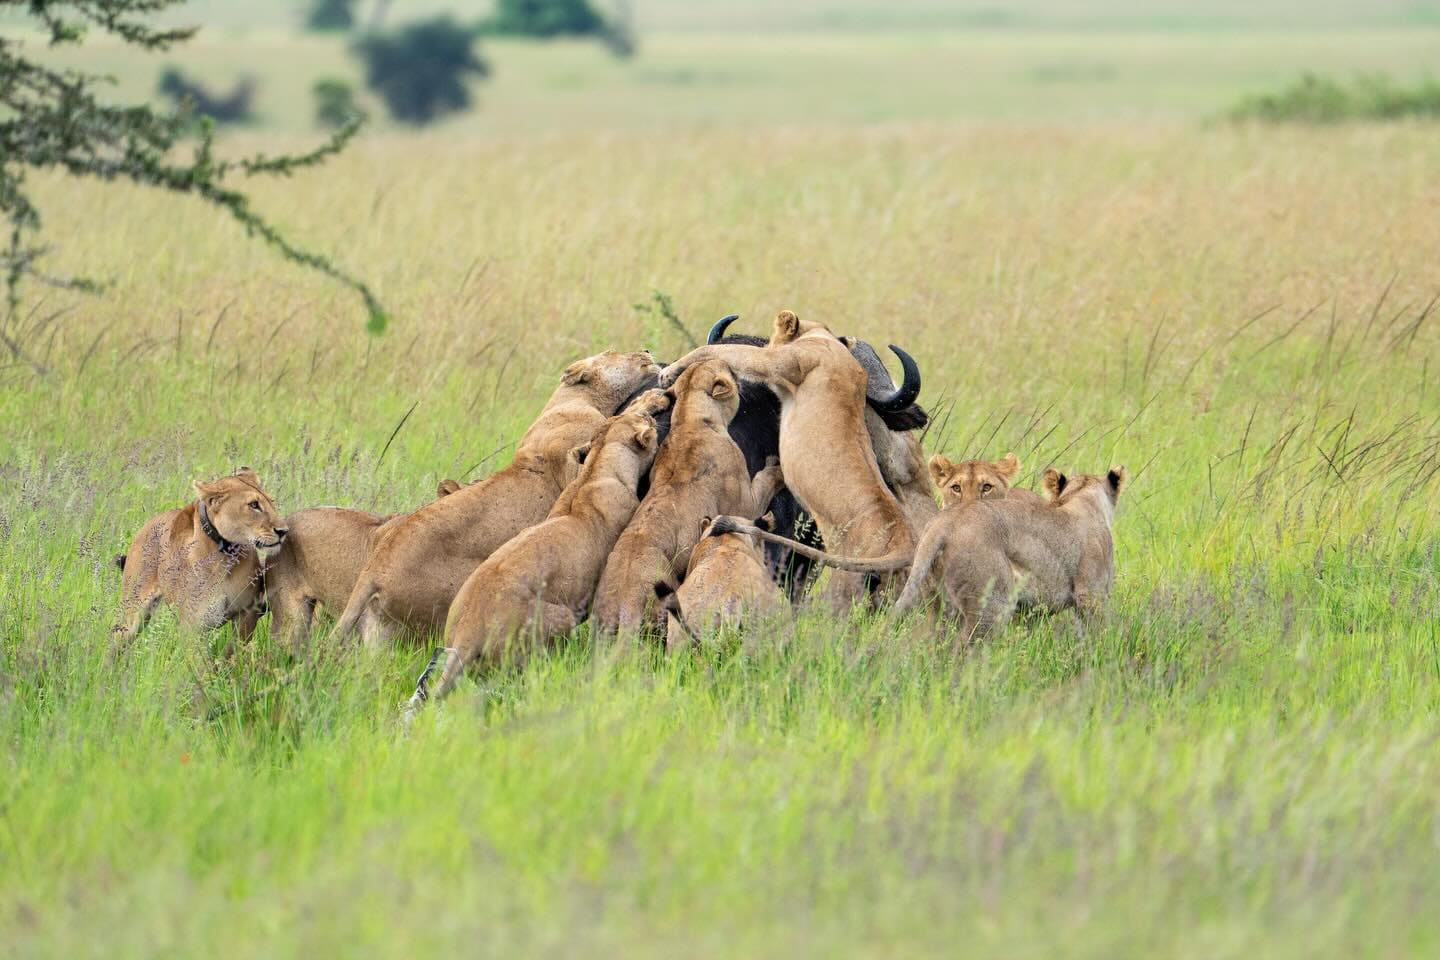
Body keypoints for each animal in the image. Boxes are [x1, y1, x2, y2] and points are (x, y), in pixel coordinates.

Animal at [112, 467, 286, 645]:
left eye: (271, 501)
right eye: (254, 505)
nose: (283, 531)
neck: (224, 555)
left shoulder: (247, 613)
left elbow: (235, 650)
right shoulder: (192, 626)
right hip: (131, 615)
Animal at [333, 349, 660, 648]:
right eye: (614, 352)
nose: (646, 350)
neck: (575, 398)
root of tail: (372, 570)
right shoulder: (581, 445)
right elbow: (617, 423)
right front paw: (650, 401)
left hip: (383, 628)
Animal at [591, 359, 784, 635]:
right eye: (728, 370)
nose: (736, 372)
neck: (688, 419)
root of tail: (625, 602)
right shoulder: (745, 503)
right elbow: (765, 481)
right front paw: (777, 468)